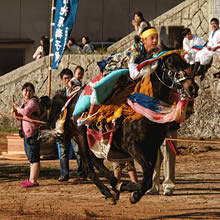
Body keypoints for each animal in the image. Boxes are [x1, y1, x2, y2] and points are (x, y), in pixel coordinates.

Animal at [38, 50, 199, 204]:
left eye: (185, 63)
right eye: (171, 64)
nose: (192, 88)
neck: (145, 107)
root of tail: (70, 99)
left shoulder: (152, 147)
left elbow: (148, 175)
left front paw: (129, 188)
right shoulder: (133, 147)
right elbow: (147, 172)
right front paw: (132, 192)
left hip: (94, 141)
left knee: (96, 162)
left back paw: (114, 184)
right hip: (80, 137)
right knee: (88, 167)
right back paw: (109, 192)